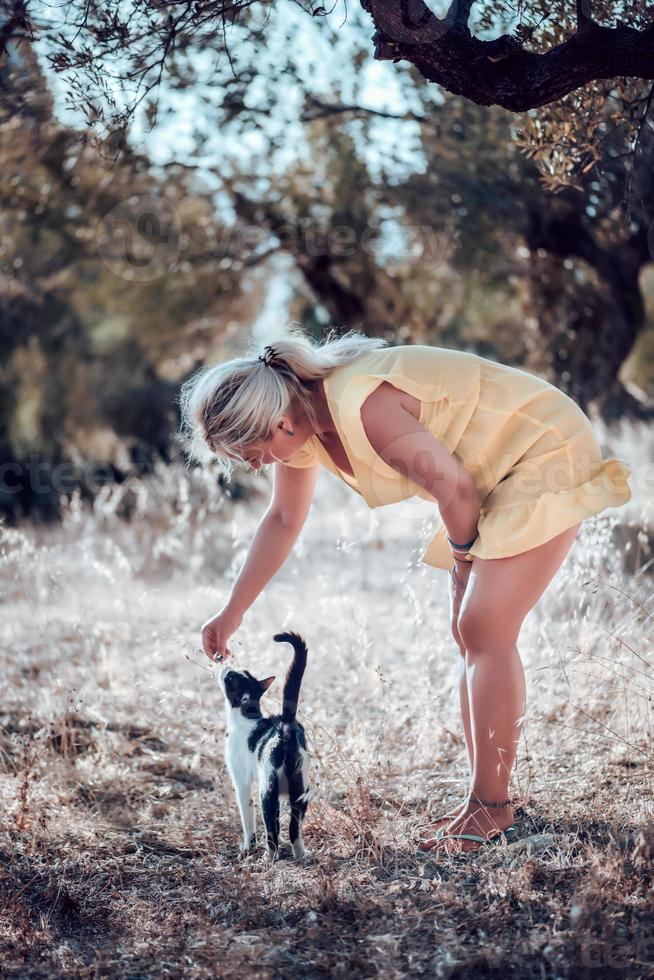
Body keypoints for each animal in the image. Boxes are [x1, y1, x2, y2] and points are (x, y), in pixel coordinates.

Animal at [219, 632, 312, 860]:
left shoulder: (242, 783)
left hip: (267, 791)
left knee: (273, 828)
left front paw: (248, 846)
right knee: (294, 829)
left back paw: (268, 857)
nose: (227, 665)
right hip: (301, 791)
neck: (247, 717)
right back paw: (300, 855)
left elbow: (247, 818)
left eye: (231, 678)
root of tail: (286, 727)